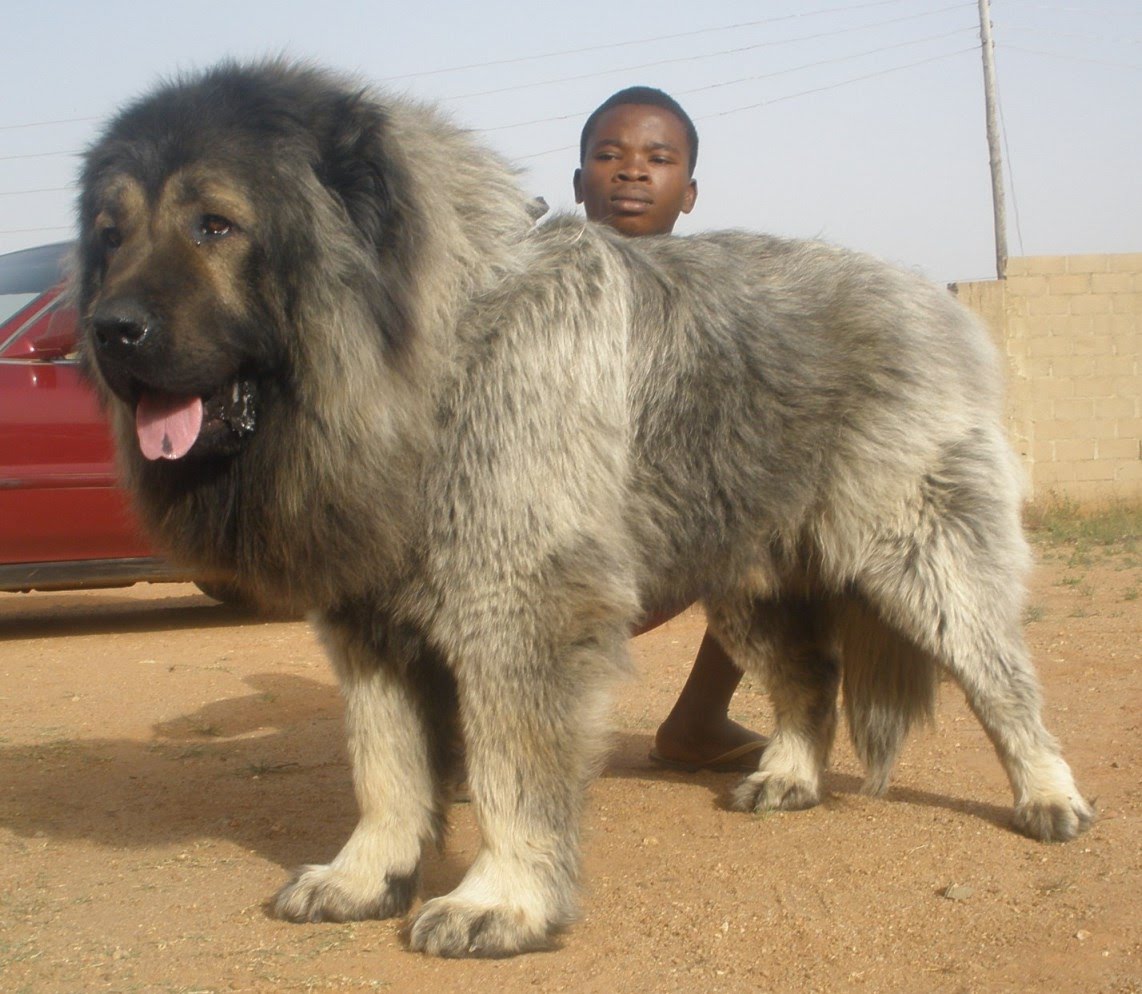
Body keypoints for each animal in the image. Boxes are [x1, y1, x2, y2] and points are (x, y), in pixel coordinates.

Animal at [75, 60, 1091, 955]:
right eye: (110, 233)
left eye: (214, 225)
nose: (107, 329)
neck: (434, 351)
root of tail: (925, 294)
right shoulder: (367, 621)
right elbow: (384, 766)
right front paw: (365, 876)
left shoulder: (519, 606)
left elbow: (511, 766)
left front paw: (501, 901)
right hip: (746, 576)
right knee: (809, 677)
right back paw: (789, 776)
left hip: (920, 557)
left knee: (1003, 680)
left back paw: (1048, 796)